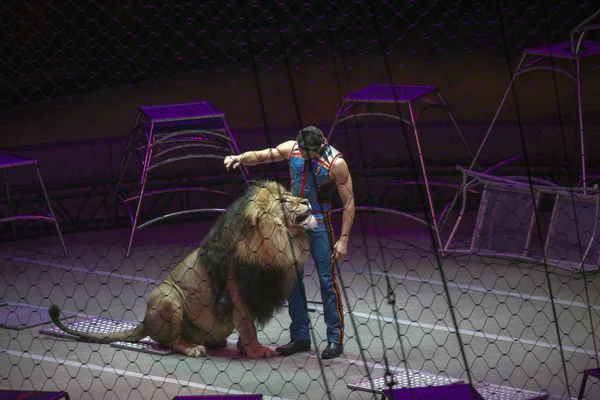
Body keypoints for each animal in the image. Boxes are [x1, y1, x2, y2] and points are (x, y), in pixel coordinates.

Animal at [48, 181, 318, 360]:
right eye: (283, 201)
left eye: (292, 195)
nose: (307, 200)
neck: (278, 238)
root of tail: (144, 322)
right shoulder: (237, 291)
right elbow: (248, 326)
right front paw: (257, 351)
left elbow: (247, 325)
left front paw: (243, 347)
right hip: (169, 298)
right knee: (170, 342)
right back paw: (192, 347)